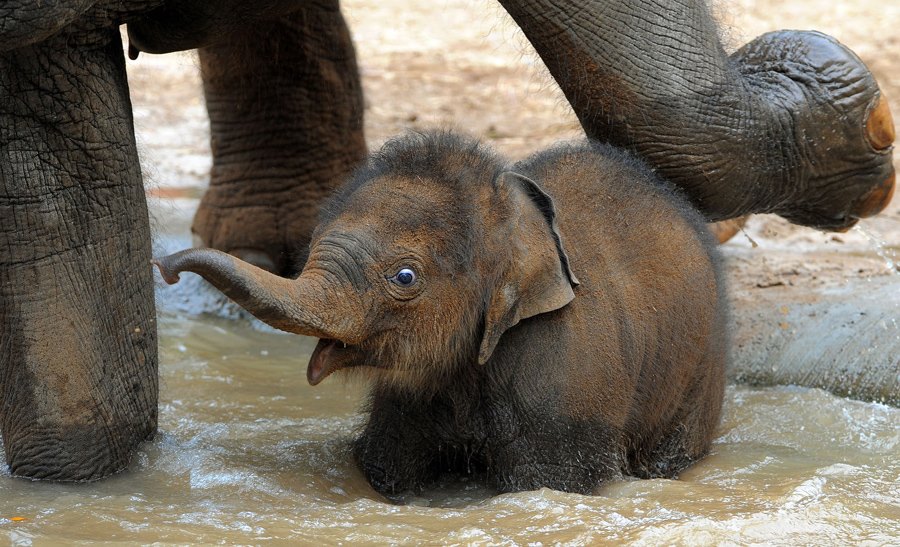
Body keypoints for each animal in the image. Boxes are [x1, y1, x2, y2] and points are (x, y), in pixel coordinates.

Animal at [153, 130, 728, 496]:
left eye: (405, 278)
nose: (165, 268)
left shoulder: (565, 385)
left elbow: (548, 481)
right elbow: (388, 466)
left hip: (699, 376)